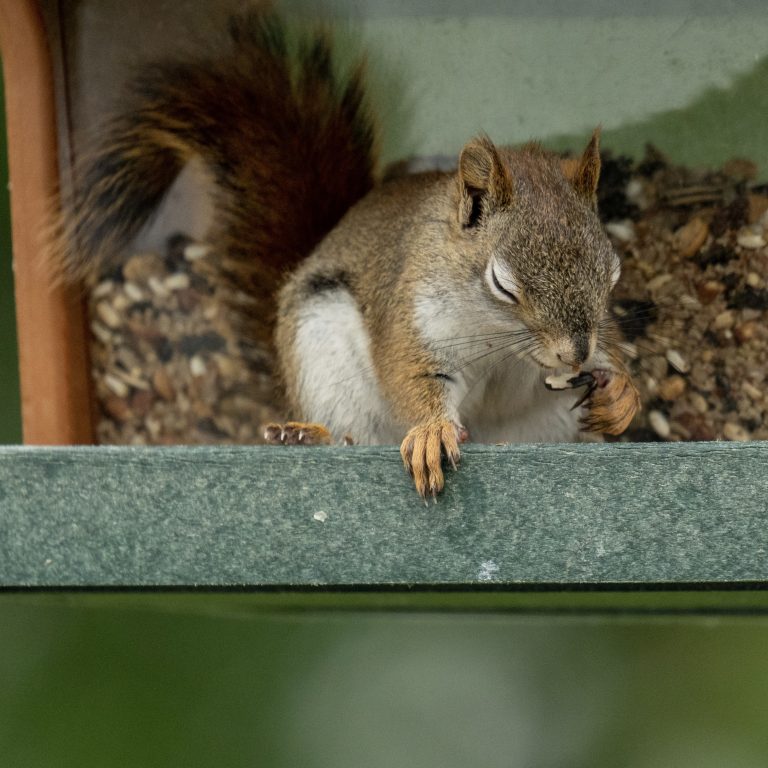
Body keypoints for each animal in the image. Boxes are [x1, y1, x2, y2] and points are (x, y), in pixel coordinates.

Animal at [55, 6, 640, 498]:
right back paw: (308, 435)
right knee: (349, 434)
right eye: (502, 283)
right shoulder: (411, 317)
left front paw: (623, 395)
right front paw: (431, 430)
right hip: (323, 352)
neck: (500, 343)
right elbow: (410, 376)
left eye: (612, 276)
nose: (575, 354)